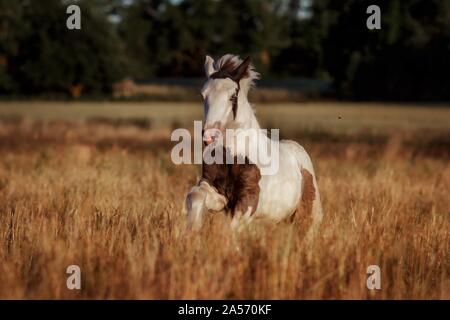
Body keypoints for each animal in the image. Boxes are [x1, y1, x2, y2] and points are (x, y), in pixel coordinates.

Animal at [185, 54, 322, 230]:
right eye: (203, 95)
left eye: (233, 96)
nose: (209, 136)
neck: (234, 155)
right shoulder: (216, 191)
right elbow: (195, 195)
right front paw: (192, 230)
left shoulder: (249, 197)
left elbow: (232, 227)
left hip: (309, 216)